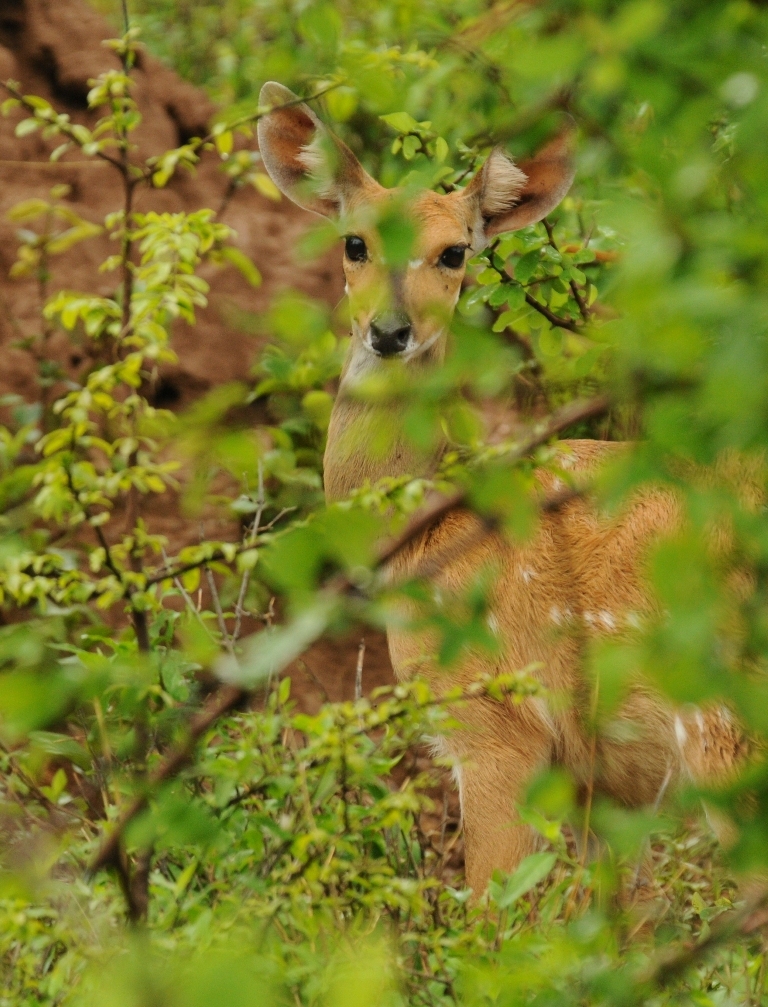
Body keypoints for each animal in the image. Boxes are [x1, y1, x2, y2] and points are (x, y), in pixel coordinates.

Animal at [257, 82, 744, 894]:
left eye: (454, 252)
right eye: (354, 243)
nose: (389, 331)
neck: (428, 531)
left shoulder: (495, 723)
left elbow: (493, 906)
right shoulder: (600, 781)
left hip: (725, 727)